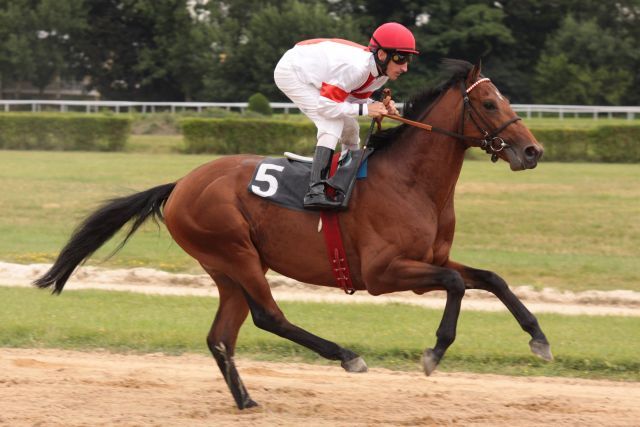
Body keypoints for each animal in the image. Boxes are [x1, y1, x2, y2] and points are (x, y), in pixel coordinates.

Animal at [35, 61, 552, 412]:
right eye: (489, 103)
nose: (533, 150)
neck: (410, 182)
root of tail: (180, 184)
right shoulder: (383, 273)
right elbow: (457, 284)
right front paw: (434, 351)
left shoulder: (430, 259)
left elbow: (491, 278)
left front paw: (539, 339)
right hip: (236, 252)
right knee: (269, 317)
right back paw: (346, 355)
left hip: (227, 268)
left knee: (220, 336)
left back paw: (246, 401)